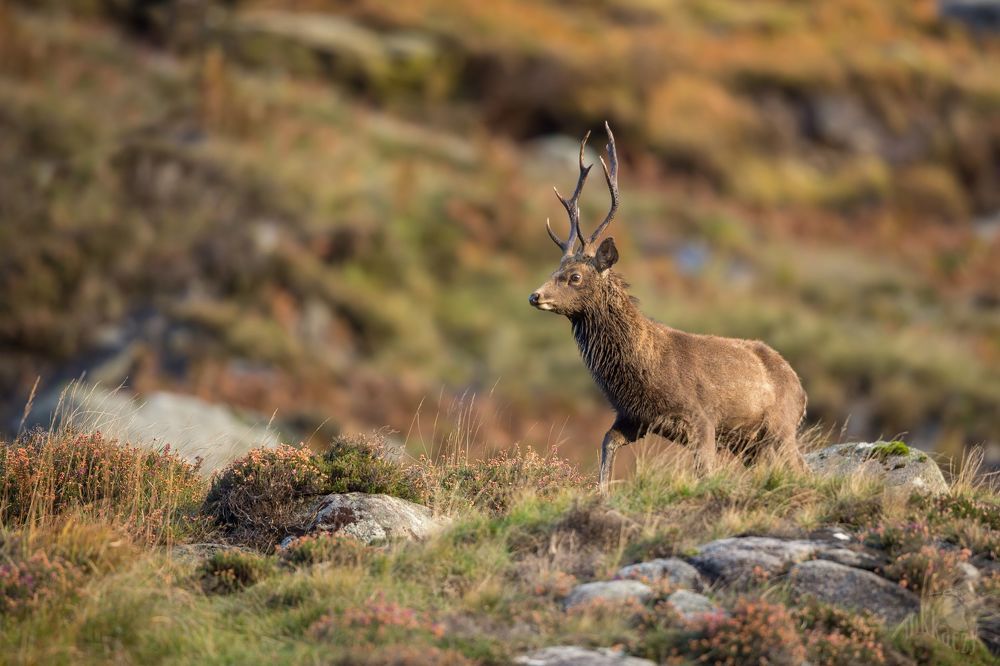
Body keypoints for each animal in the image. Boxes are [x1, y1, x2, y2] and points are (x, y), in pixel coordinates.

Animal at [529, 123, 808, 491]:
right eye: (554, 271)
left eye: (575, 276)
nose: (535, 296)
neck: (644, 372)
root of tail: (802, 391)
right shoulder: (633, 417)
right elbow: (606, 442)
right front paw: (602, 491)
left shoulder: (702, 419)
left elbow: (705, 473)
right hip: (751, 444)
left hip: (780, 426)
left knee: (801, 467)